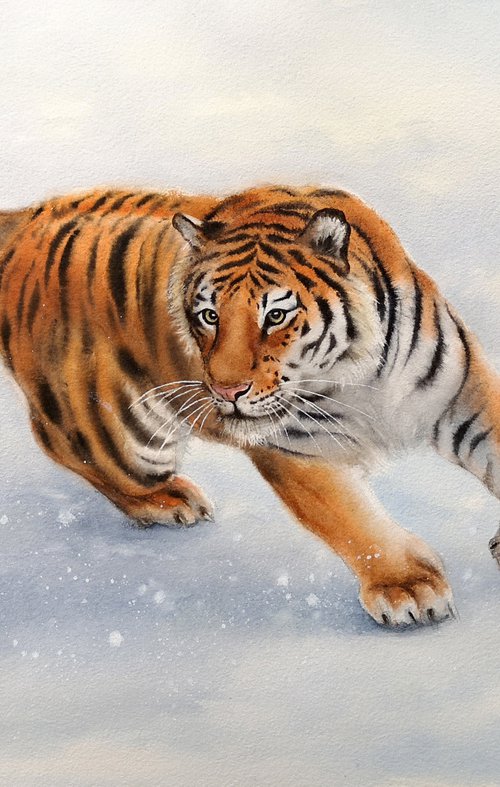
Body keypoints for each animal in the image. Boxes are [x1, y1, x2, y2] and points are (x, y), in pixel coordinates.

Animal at [1, 184, 499, 629]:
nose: (225, 392)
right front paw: (409, 588)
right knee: (71, 451)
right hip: (120, 436)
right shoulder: (295, 448)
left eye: (275, 315)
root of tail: (25, 218)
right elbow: (352, 519)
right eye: (209, 315)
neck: (357, 374)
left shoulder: (464, 396)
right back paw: (167, 500)